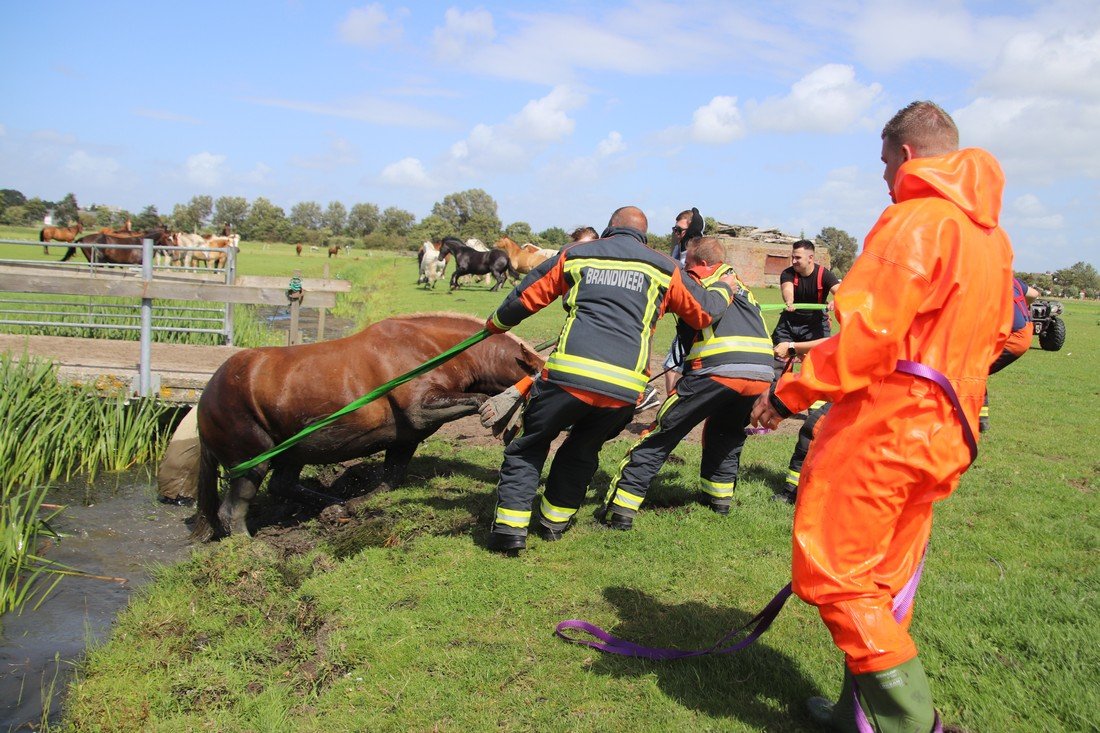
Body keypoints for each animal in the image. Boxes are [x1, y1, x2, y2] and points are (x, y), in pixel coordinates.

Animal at [195, 310, 547, 537]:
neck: (433, 349)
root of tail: (204, 398)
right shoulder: (420, 409)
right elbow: (477, 400)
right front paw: (501, 414)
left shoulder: (407, 437)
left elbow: (387, 482)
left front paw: (350, 507)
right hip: (250, 460)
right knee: (232, 511)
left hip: (293, 452)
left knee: (282, 485)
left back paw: (333, 504)